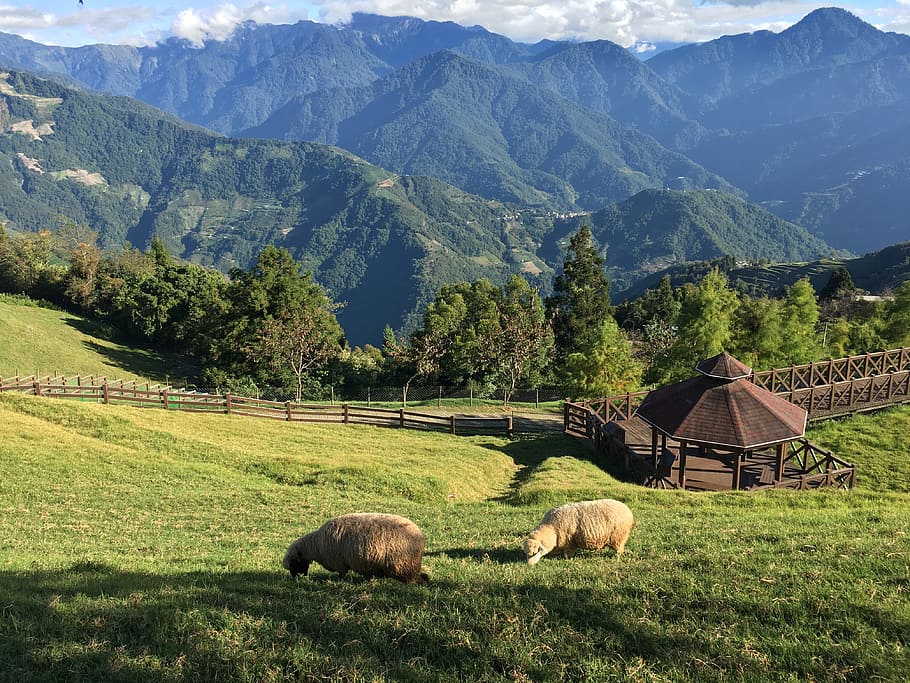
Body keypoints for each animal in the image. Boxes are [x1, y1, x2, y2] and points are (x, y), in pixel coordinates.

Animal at [284, 512, 430, 584]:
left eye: (294, 562)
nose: (294, 579)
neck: (316, 546)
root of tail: (420, 537)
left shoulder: (339, 562)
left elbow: (342, 574)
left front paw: (339, 581)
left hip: (403, 566)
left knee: (415, 580)